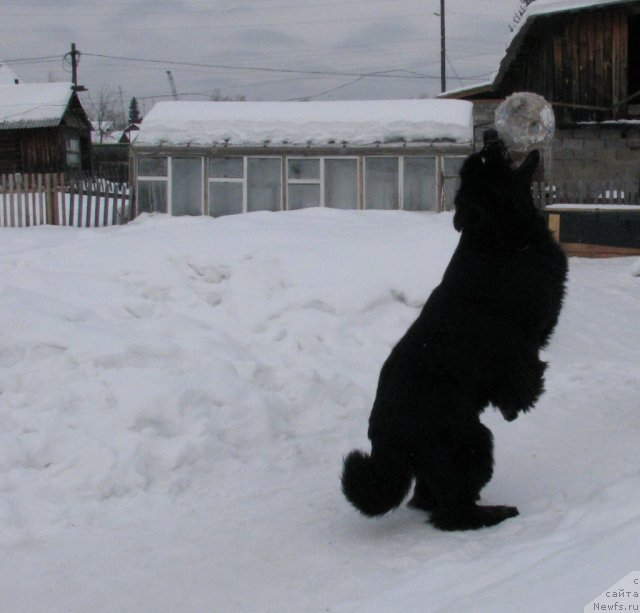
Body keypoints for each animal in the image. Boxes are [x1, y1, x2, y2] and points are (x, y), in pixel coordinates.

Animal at [342, 134, 568, 532]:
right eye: (485, 162)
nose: (490, 136)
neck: (498, 238)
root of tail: (384, 439)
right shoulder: (517, 338)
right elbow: (521, 369)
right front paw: (519, 401)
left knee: (428, 499)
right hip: (469, 442)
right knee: (450, 513)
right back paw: (495, 514)